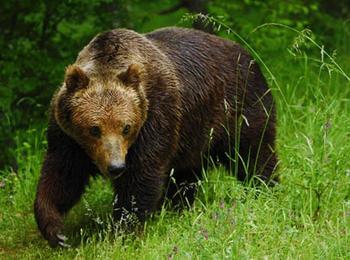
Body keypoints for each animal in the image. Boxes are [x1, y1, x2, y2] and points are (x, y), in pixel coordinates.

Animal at [34, 26, 278, 248]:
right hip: (193, 136)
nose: (116, 167)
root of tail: (249, 55)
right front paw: (56, 231)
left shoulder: (156, 117)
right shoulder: (68, 138)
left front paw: (123, 230)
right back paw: (179, 207)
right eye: (94, 129)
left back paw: (264, 188)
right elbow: (62, 176)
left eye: (126, 127)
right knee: (186, 175)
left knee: (253, 154)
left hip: (238, 109)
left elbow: (141, 175)